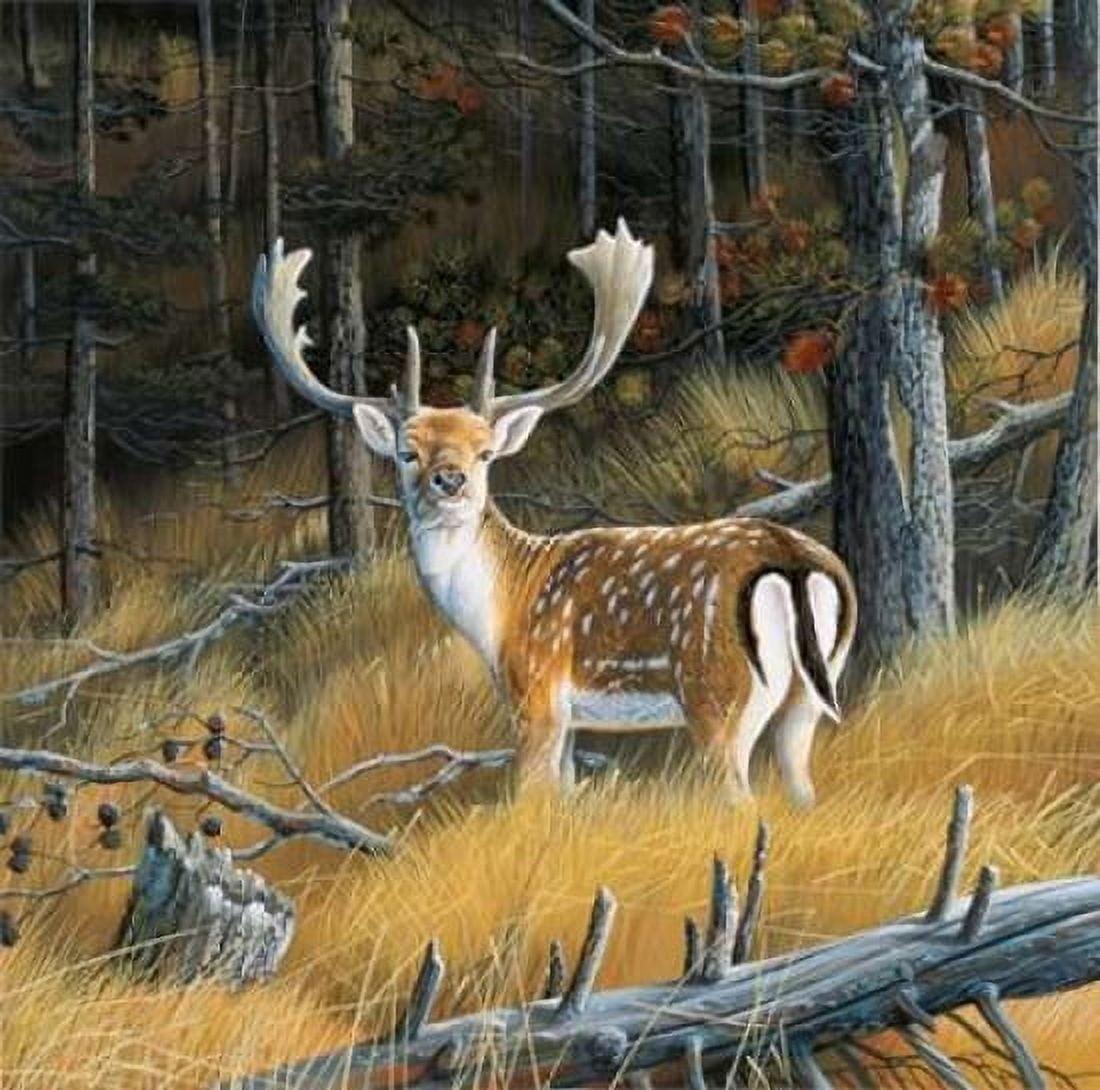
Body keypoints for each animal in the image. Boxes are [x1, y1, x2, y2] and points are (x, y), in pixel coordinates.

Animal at [252, 219, 857, 807]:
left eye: (485, 452)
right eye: (407, 452)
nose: (450, 480)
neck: (498, 611)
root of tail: (794, 561)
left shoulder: (536, 693)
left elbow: (534, 796)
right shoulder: (568, 718)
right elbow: (564, 795)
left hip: (715, 692)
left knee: (738, 795)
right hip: (811, 690)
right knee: (800, 786)